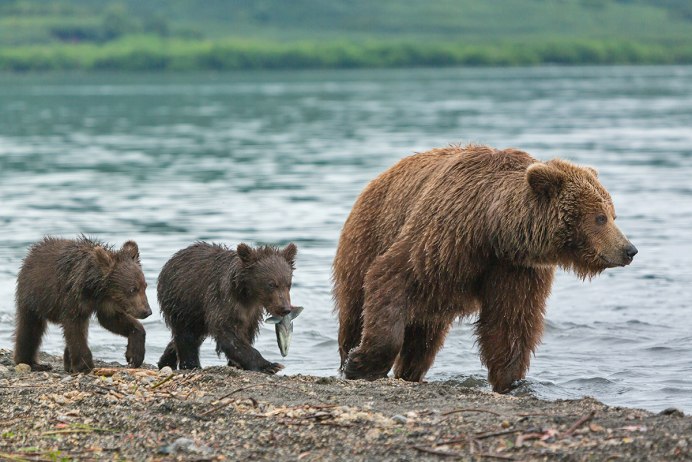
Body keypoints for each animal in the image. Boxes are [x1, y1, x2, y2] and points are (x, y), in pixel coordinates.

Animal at [14, 236, 152, 372]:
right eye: (132, 289)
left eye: (144, 286)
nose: (147, 311)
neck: (95, 289)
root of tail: (30, 254)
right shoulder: (73, 297)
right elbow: (74, 328)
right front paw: (85, 365)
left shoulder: (106, 302)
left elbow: (112, 320)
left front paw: (134, 356)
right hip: (34, 296)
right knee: (30, 328)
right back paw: (31, 362)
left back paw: (67, 363)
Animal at [157, 241, 297, 373]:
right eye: (271, 284)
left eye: (288, 283)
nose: (285, 309)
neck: (247, 295)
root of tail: (171, 260)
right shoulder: (222, 300)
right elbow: (229, 334)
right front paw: (270, 365)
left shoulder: (251, 313)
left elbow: (246, 333)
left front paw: (236, 363)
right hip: (183, 301)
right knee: (187, 334)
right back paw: (191, 364)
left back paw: (166, 360)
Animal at [332, 144, 637, 393]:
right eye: (599, 217)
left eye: (613, 214)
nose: (629, 250)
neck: (492, 229)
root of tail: (378, 178)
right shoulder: (443, 238)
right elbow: (392, 275)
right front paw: (360, 364)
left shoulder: (514, 268)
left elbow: (510, 322)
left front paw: (511, 381)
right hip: (367, 236)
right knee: (355, 309)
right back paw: (349, 356)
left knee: (425, 338)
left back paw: (410, 372)